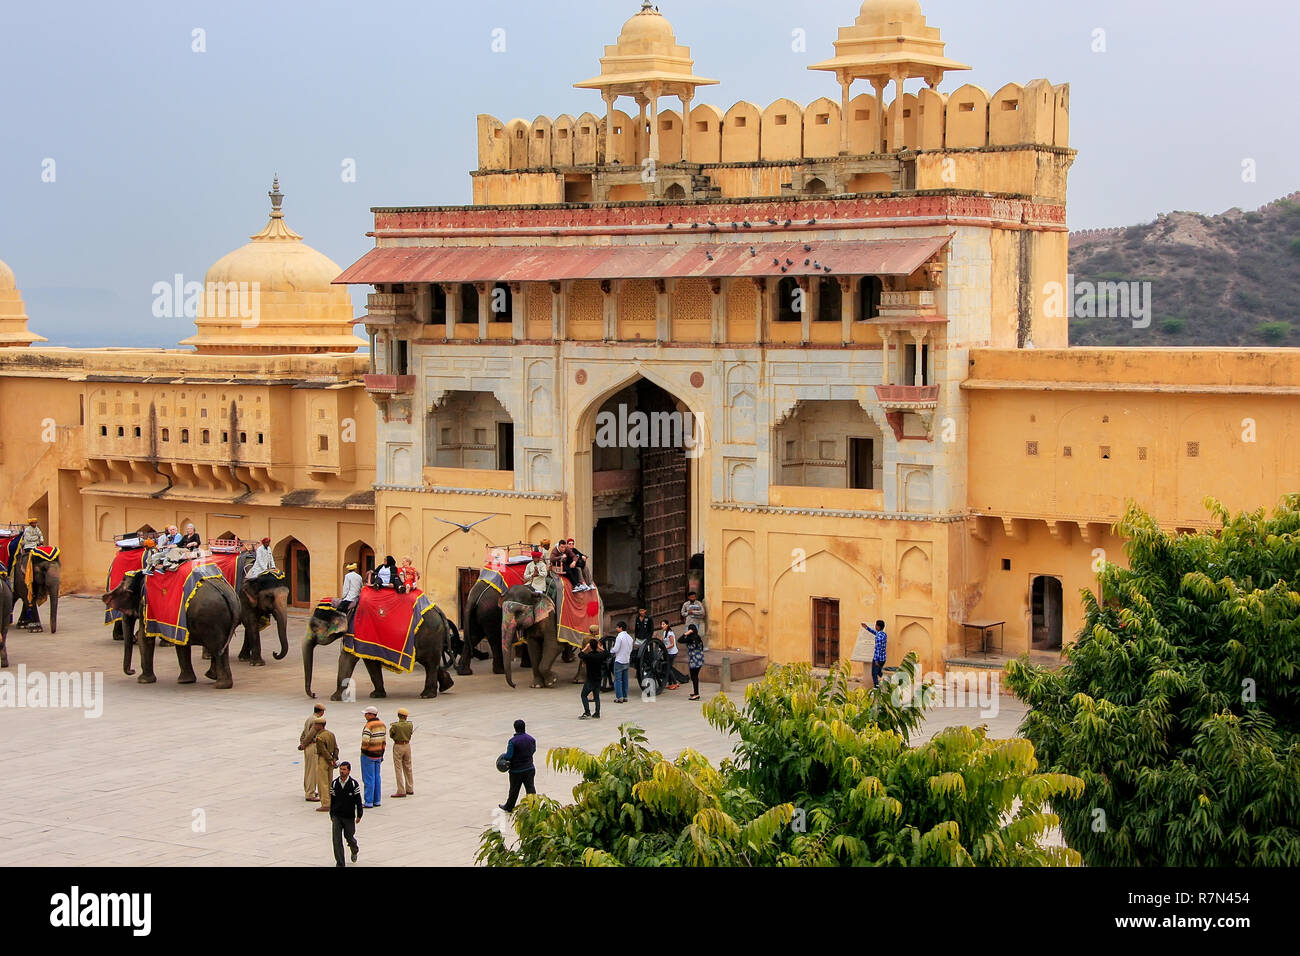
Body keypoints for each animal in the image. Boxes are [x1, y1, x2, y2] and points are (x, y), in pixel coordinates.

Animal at [100, 567, 241, 686]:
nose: (132, 671)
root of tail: (227, 595)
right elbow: (181, 644)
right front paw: (186, 681)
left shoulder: (145, 605)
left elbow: (144, 637)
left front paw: (143, 681)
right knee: (221, 647)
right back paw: (214, 678)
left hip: (210, 619)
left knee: (216, 648)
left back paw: (220, 684)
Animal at [306, 600, 460, 697]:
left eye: (314, 627)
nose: (314, 695)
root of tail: (438, 610)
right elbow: (370, 662)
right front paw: (376, 695)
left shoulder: (355, 631)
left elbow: (346, 658)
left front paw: (334, 698)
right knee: (432, 663)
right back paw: (447, 685)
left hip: (430, 635)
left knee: (430, 663)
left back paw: (427, 695)